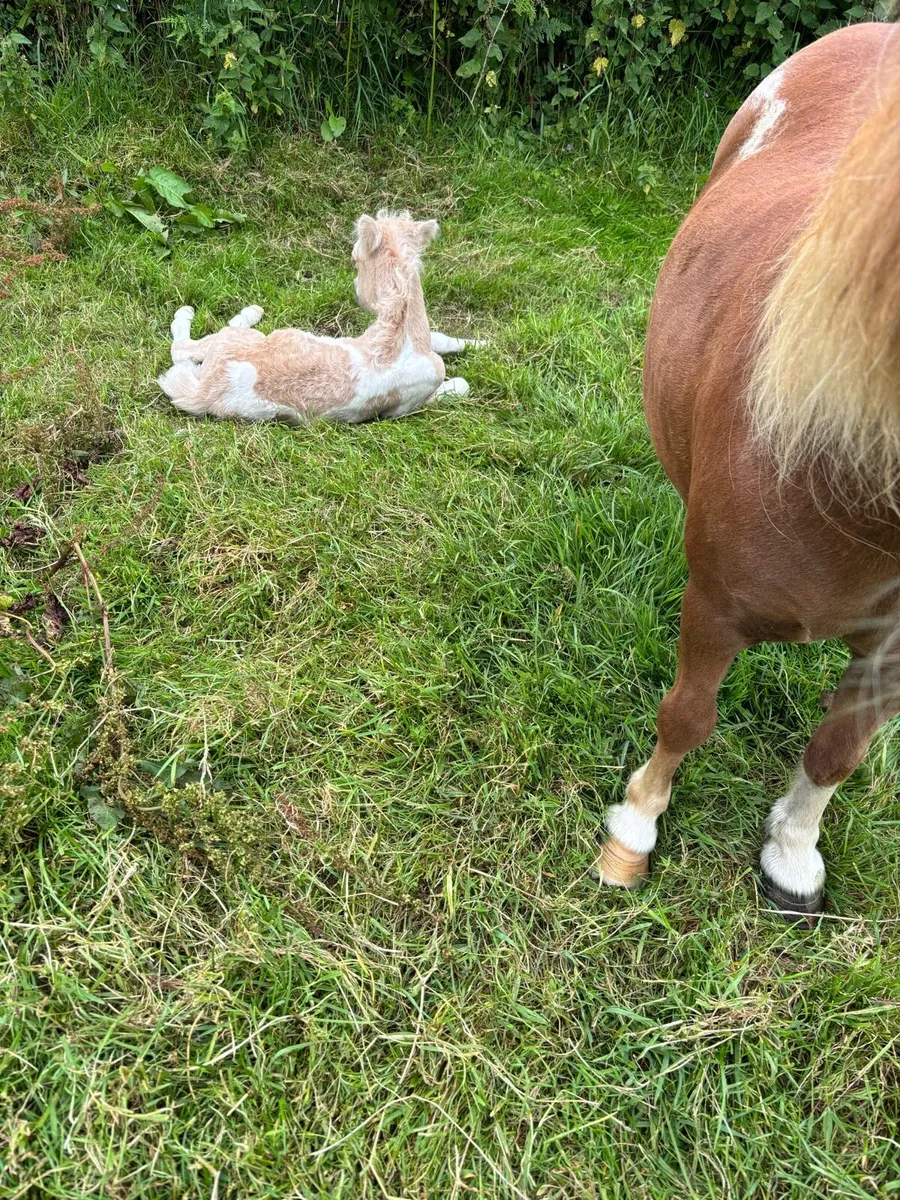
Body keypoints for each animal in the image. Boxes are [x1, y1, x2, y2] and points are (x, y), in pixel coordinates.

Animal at [158, 211, 481, 425]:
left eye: (354, 260)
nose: (356, 291)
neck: (401, 331)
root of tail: (206, 394)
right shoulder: (405, 407)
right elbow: (459, 381)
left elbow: (445, 346)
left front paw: (481, 344)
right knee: (182, 349)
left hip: (246, 341)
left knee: (187, 351)